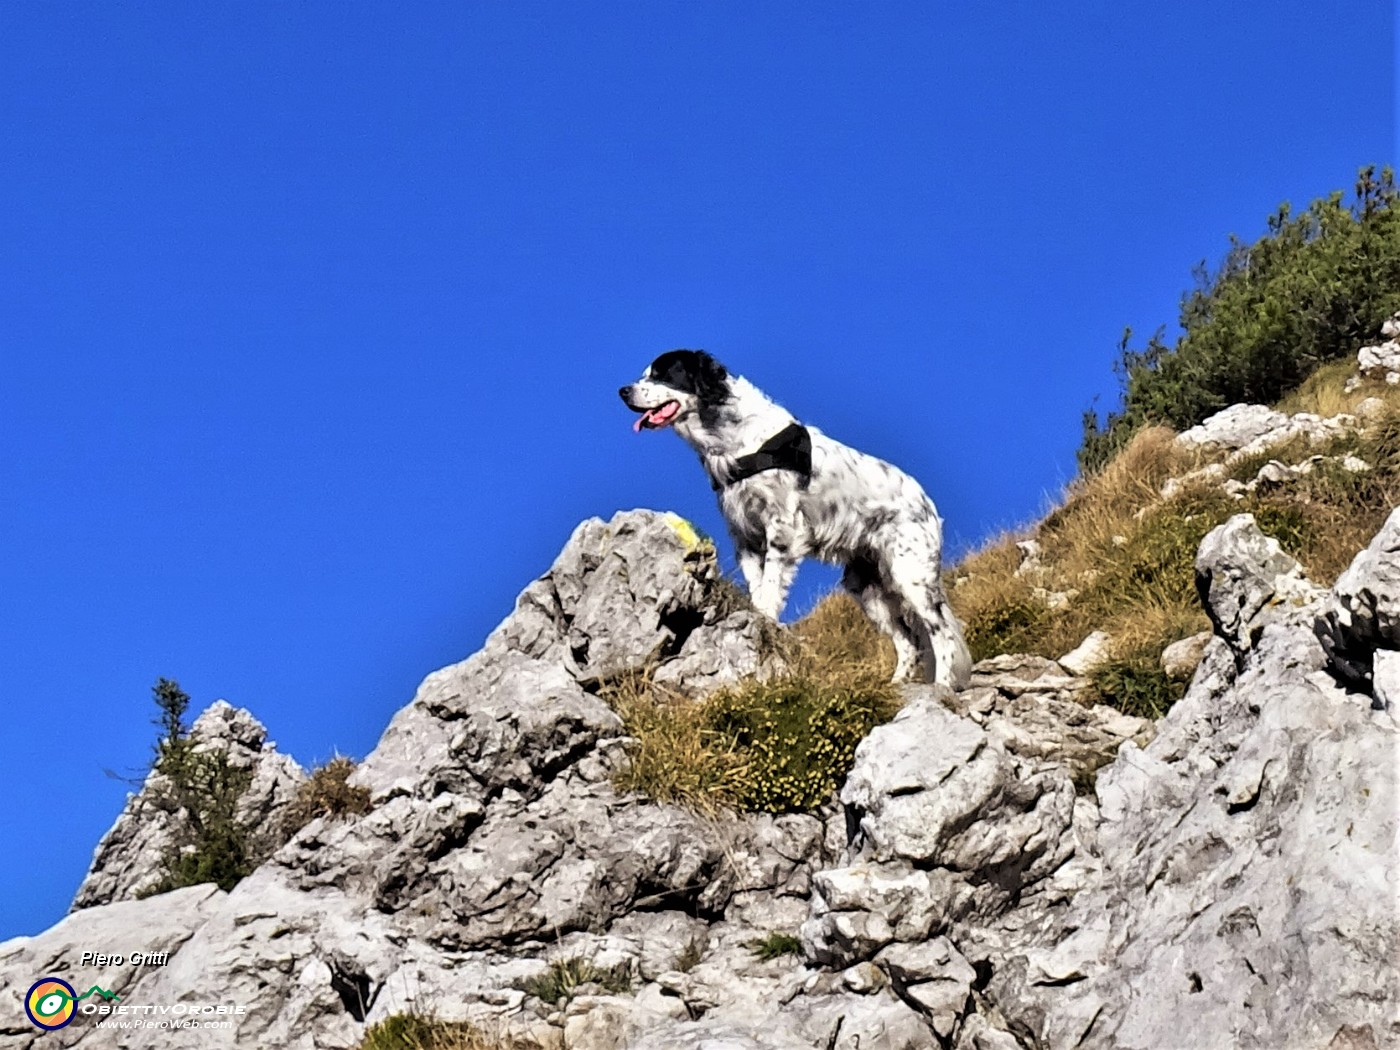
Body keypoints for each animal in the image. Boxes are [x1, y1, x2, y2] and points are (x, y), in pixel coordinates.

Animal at [618, 350, 968, 691]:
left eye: (663, 373)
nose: (623, 391)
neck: (733, 437)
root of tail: (926, 502)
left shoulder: (780, 529)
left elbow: (770, 588)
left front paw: (766, 624)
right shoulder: (744, 537)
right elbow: (757, 588)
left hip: (910, 574)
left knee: (941, 632)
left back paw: (943, 685)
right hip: (865, 585)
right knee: (907, 639)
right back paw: (895, 684)